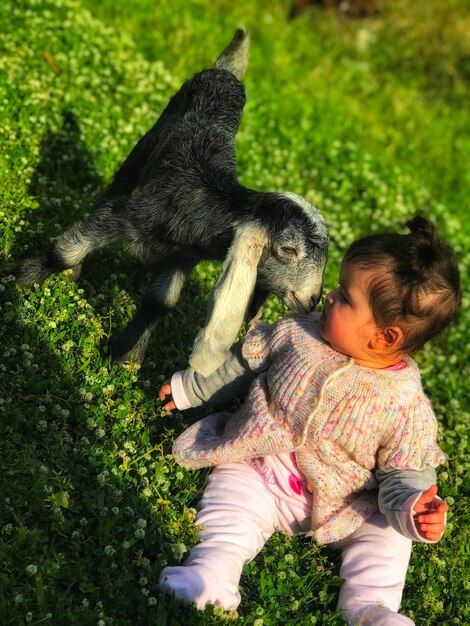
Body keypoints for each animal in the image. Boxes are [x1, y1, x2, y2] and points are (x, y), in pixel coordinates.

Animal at [9, 30, 328, 376]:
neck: (207, 208)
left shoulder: (181, 259)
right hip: (151, 137)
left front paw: (127, 358)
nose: (313, 299)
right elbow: (66, 252)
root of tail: (225, 73)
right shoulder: (129, 215)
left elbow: (160, 303)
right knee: (116, 186)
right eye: (288, 249)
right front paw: (19, 280)